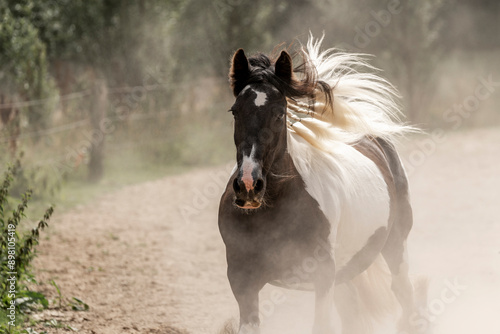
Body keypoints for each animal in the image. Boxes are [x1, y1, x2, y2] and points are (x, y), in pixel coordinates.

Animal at [219, 35, 418, 332]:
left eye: (280, 113)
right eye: (235, 112)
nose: (248, 186)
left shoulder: (322, 276)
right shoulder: (243, 281)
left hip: (396, 247)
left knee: (405, 298)